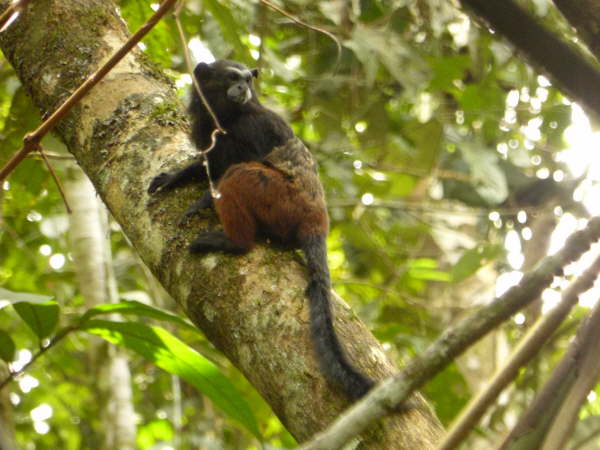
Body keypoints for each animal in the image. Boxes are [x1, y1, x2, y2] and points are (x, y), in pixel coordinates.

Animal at [149, 59, 376, 400]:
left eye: (247, 80)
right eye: (233, 77)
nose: (242, 88)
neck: (225, 116)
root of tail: (317, 219)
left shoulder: (253, 126)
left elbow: (246, 162)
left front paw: (204, 200)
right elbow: (207, 164)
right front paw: (176, 177)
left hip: (282, 200)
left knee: (241, 174)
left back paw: (234, 242)